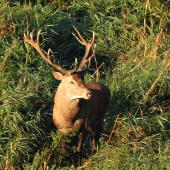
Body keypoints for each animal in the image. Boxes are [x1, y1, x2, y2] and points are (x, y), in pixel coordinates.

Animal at [23, 26, 111, 166]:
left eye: (82, 78)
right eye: (71, 81)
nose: (89, 93)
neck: (69, 120)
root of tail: (105, 86)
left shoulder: (82, 126)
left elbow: (79, 150)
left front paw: (79, 165)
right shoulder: (60, 129)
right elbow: (64, 150)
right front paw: (64, 162)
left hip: (101, 115)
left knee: (97, 134)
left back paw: (94, 151)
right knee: (95, 133)